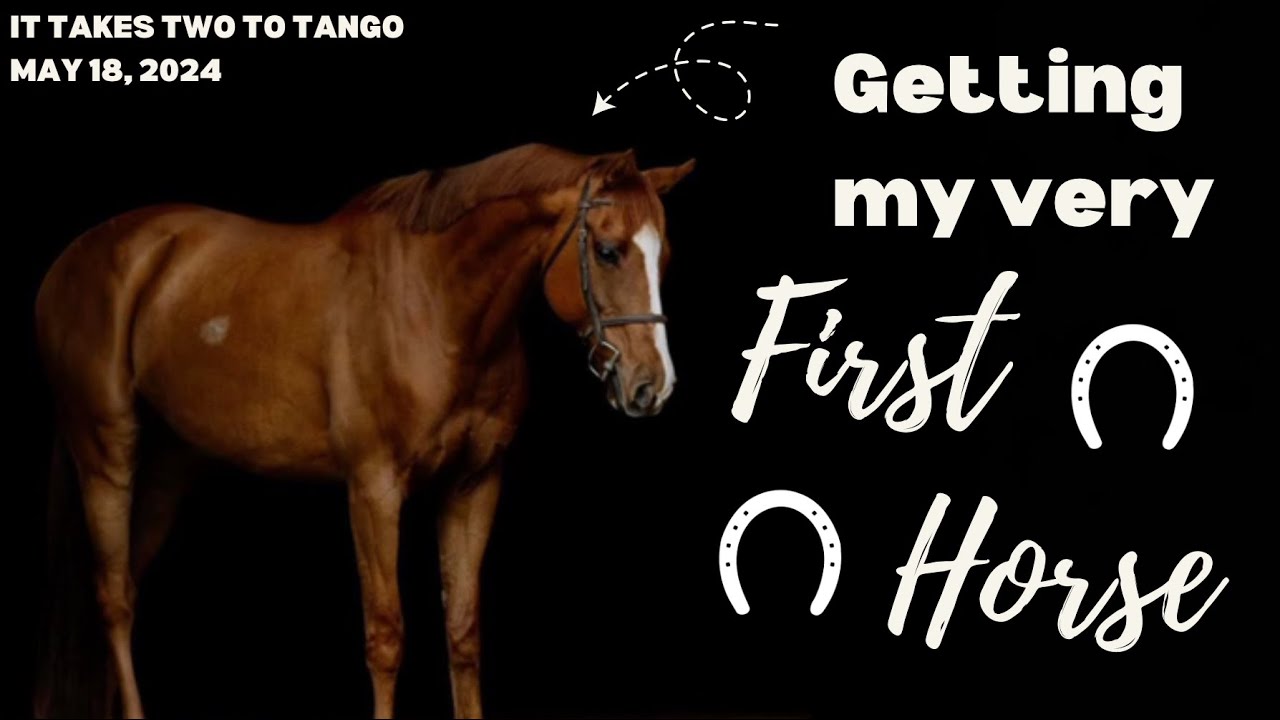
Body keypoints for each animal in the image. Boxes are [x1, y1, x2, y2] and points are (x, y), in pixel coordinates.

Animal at [32, 143, 696, 719]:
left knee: (128, 584)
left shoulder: (474, 485)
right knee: (113, 596)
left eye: (663, 257)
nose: (652, 385)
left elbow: (463, 633)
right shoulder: (374, 489)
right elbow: (386, 636)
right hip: (106, 454)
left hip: (168, 468)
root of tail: (74, 258)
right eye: (607, 251)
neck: (435, 302)